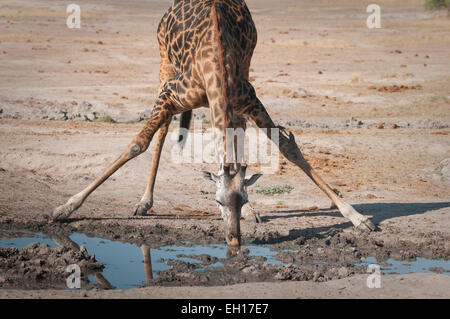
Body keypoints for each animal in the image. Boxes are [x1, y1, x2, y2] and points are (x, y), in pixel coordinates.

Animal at [51, 0, 376, 248]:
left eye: (241, 200)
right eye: (217, 202)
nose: (234, 240)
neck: (216, 65)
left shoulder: (249, 100)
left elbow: (287, 148)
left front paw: (358, 218)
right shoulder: (170, 95)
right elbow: (137, 144)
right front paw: (65, 208)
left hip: (244, 73)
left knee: (236, 136)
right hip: (164, 63)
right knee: (162, 131)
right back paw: (144, 202)